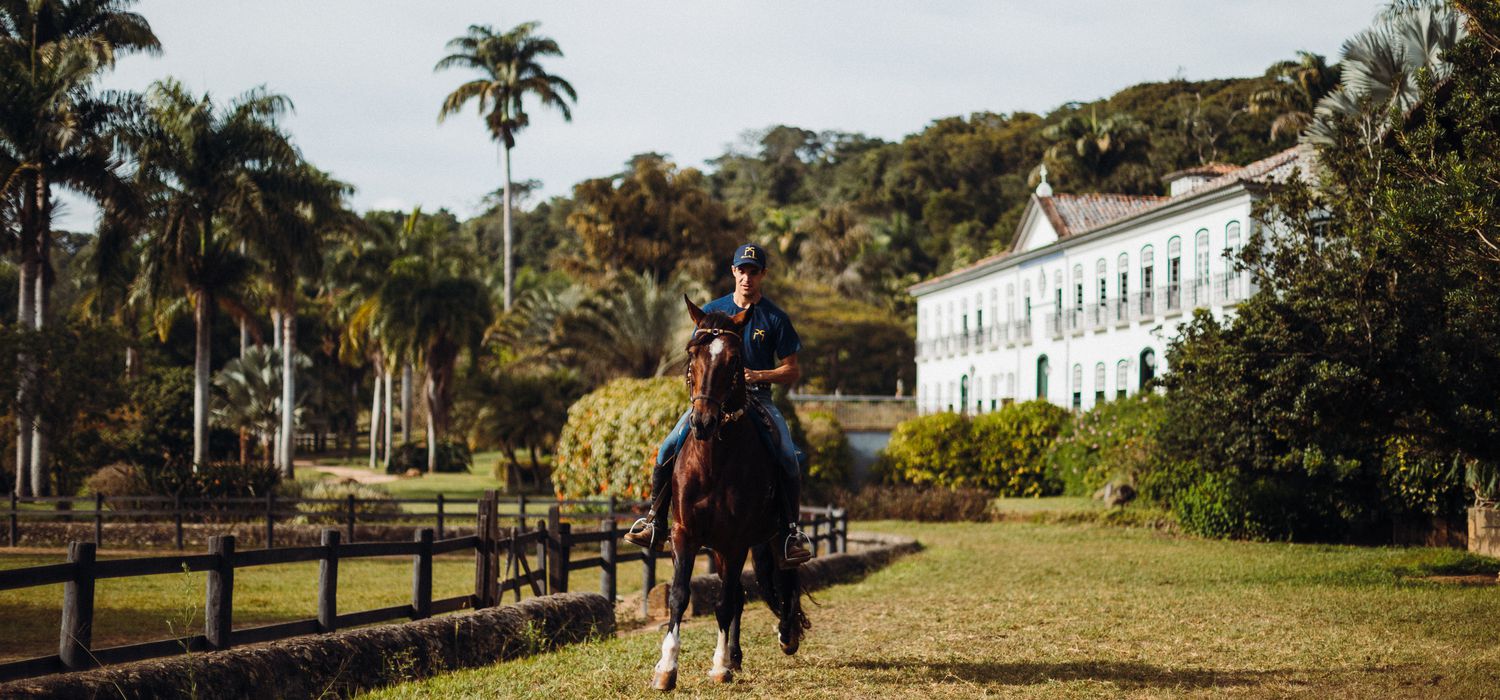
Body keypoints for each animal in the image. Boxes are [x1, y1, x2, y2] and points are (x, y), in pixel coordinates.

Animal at [648, 295, 810, 689]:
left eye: (735, 360)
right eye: (692, 352)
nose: (702, 422)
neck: (714, 461)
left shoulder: (737, 540)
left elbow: (724, 601)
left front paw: (719, 666)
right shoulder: (685, 534)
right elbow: (680, 596)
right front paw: (667, 668)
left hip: (769, 538)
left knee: (783, 578)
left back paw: (785, 636)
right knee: (739, 594)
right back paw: (736, 656)